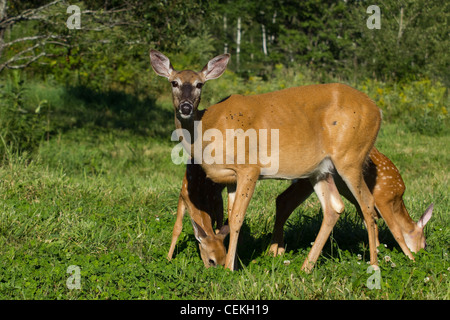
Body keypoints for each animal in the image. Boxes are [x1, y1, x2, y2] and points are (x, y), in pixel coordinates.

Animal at [149, 49, 382, 270]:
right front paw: (233, 262)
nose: (186, 107)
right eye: (174, 82)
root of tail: (376, 110)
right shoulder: (231, 178)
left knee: (368, 203)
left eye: (199, 84)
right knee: (334, 207)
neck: (206, 128)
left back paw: (373, 264)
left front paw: (229, 269)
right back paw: (306, 267)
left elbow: (237, 218)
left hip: (350, 157)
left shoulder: (249, 168)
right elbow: (230, 217)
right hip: (321, 170)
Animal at [268, 147, 434, 262]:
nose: (423, 253)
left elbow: (372, 228)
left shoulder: (361, 205)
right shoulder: (383, 197)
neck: (397, 200)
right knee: (284, 201)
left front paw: (378, 252)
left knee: (282, 200)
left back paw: (276, 251)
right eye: (425, 244)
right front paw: (410, 258)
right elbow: (396, 231)